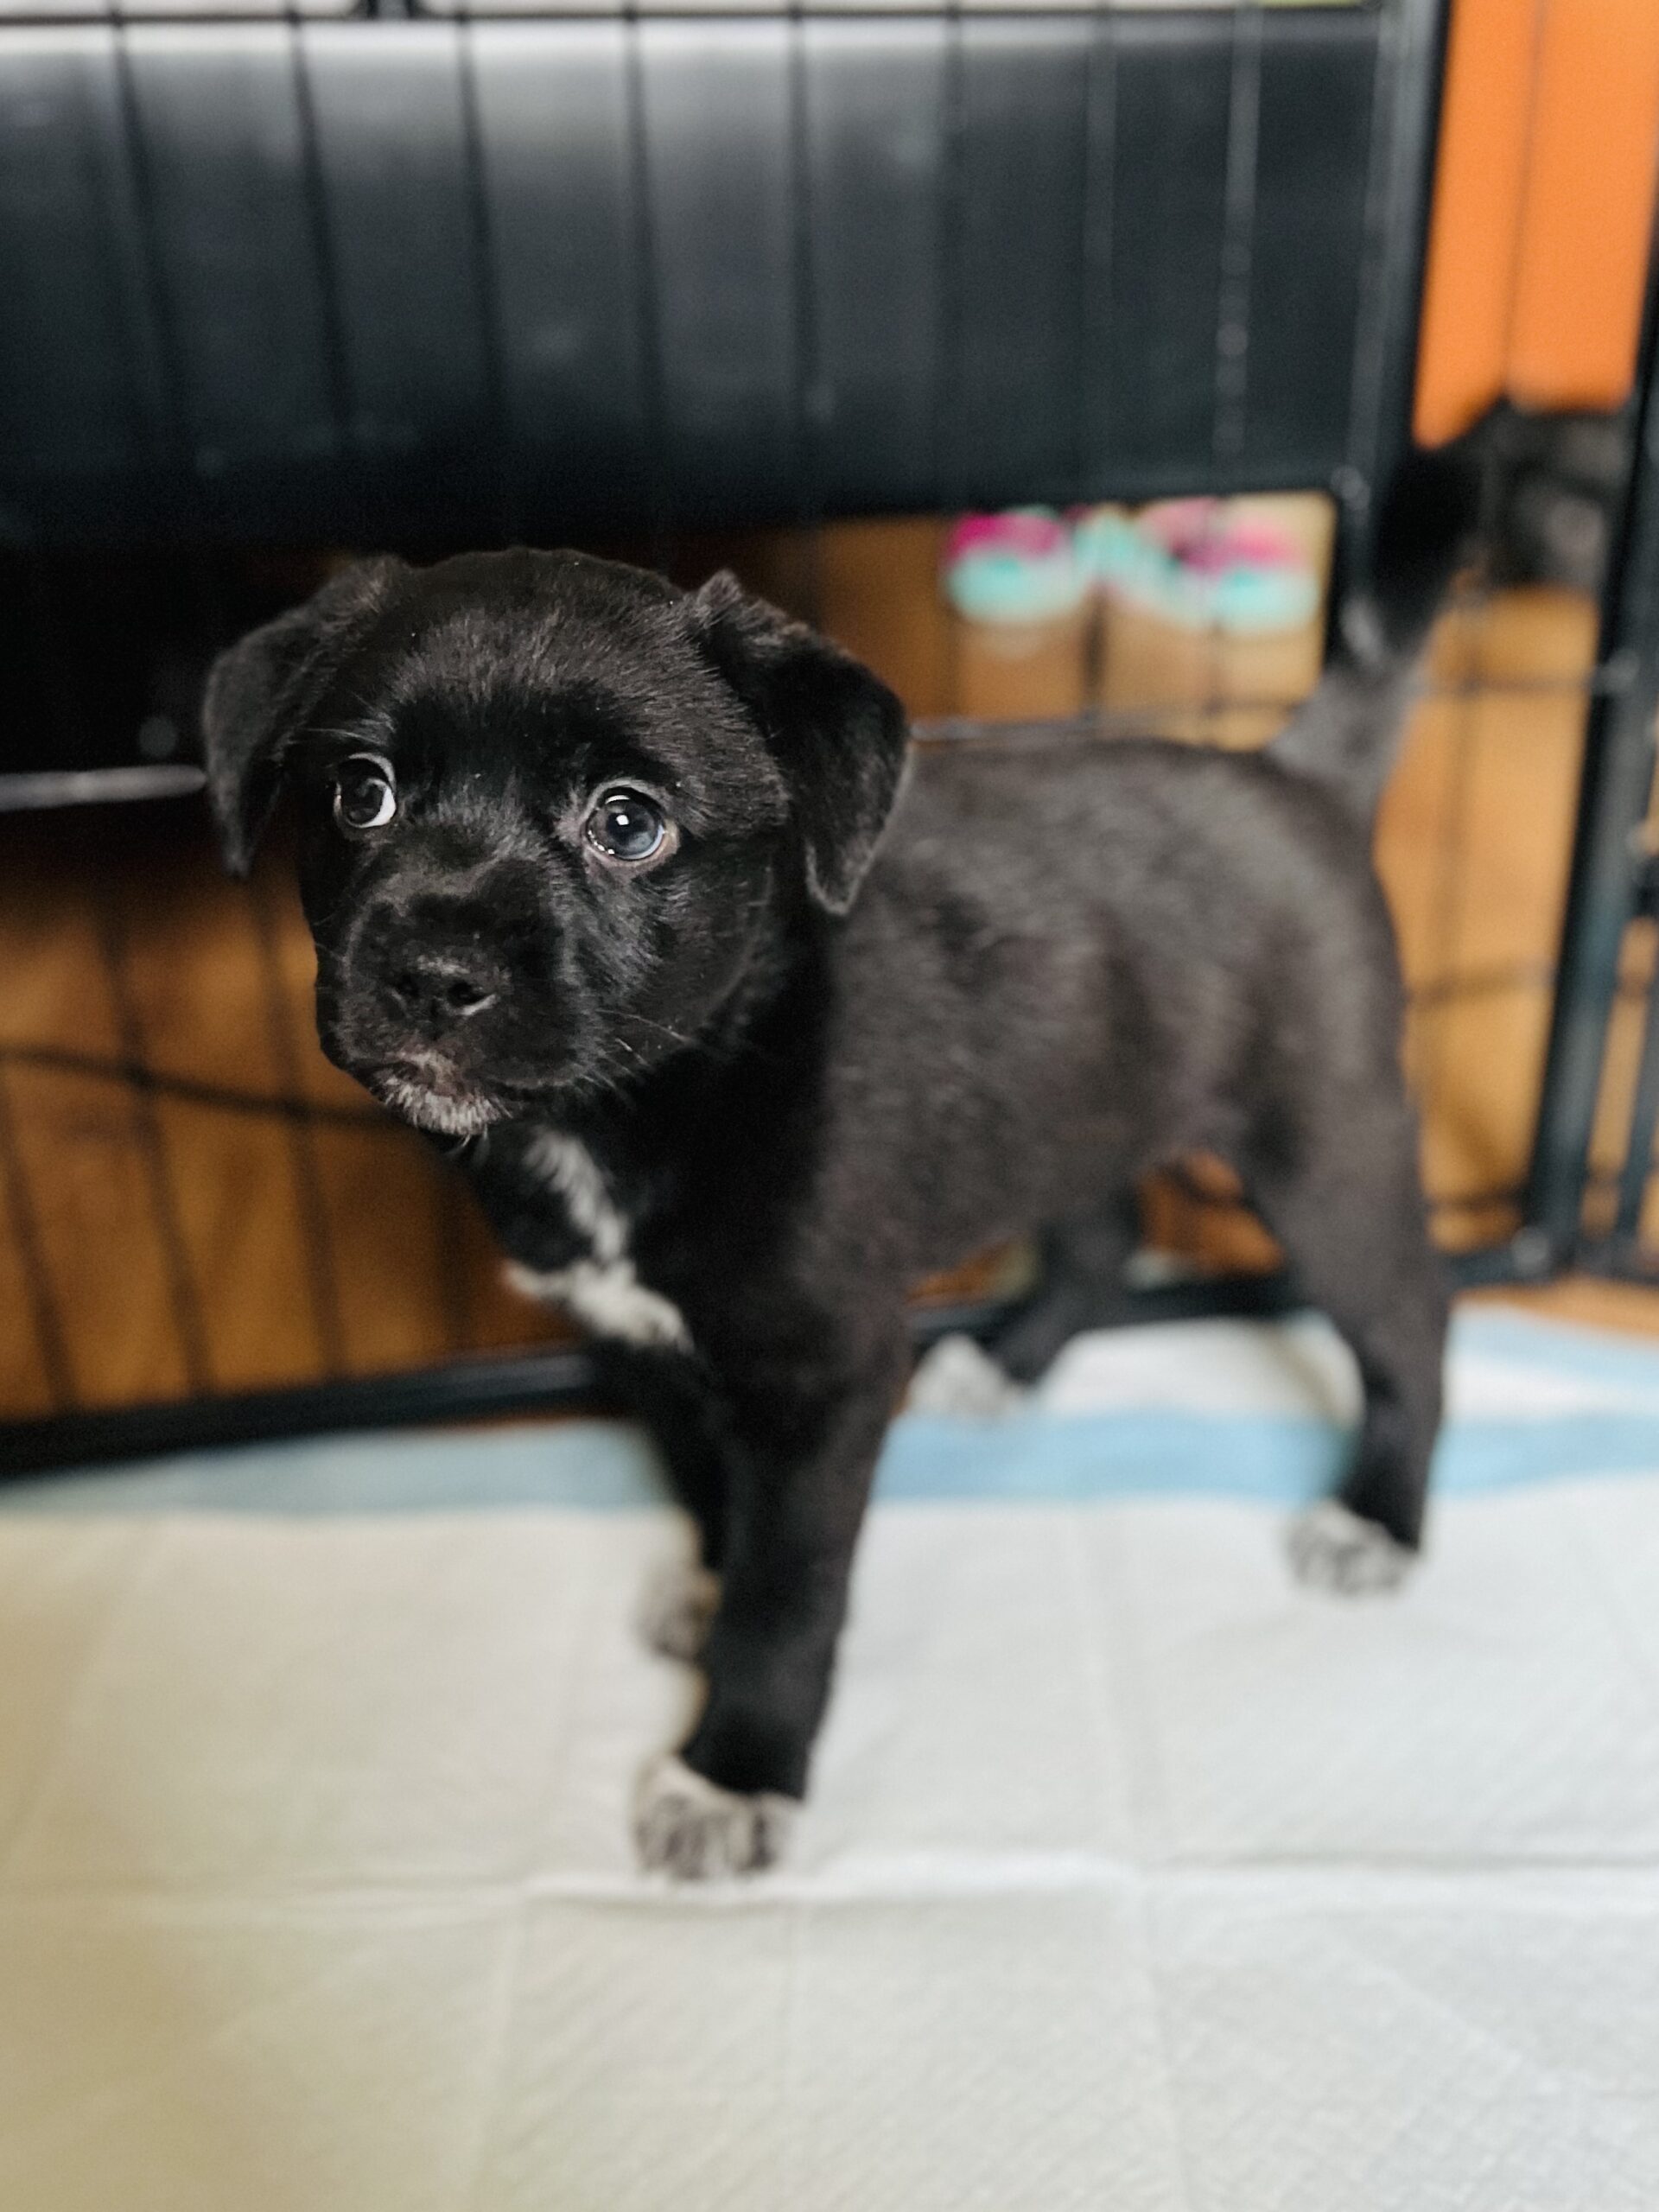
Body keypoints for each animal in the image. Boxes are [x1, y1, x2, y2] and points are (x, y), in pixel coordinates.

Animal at [204, 450, 1468, 1879]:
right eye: (359, 794)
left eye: (628, 823)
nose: (429, 974)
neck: (653, 1096)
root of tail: (1297, 773)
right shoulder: (645, 1341)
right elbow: (711, 1493)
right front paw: (708, 1587)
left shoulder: (824, 1377)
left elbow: (790, 1588)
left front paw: (736, 1769)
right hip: (1081, 1101)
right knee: (1104, 1236)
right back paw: (1007, 1364)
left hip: (1323, 1144)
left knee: (1411, 1316)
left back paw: (1379, 1516)